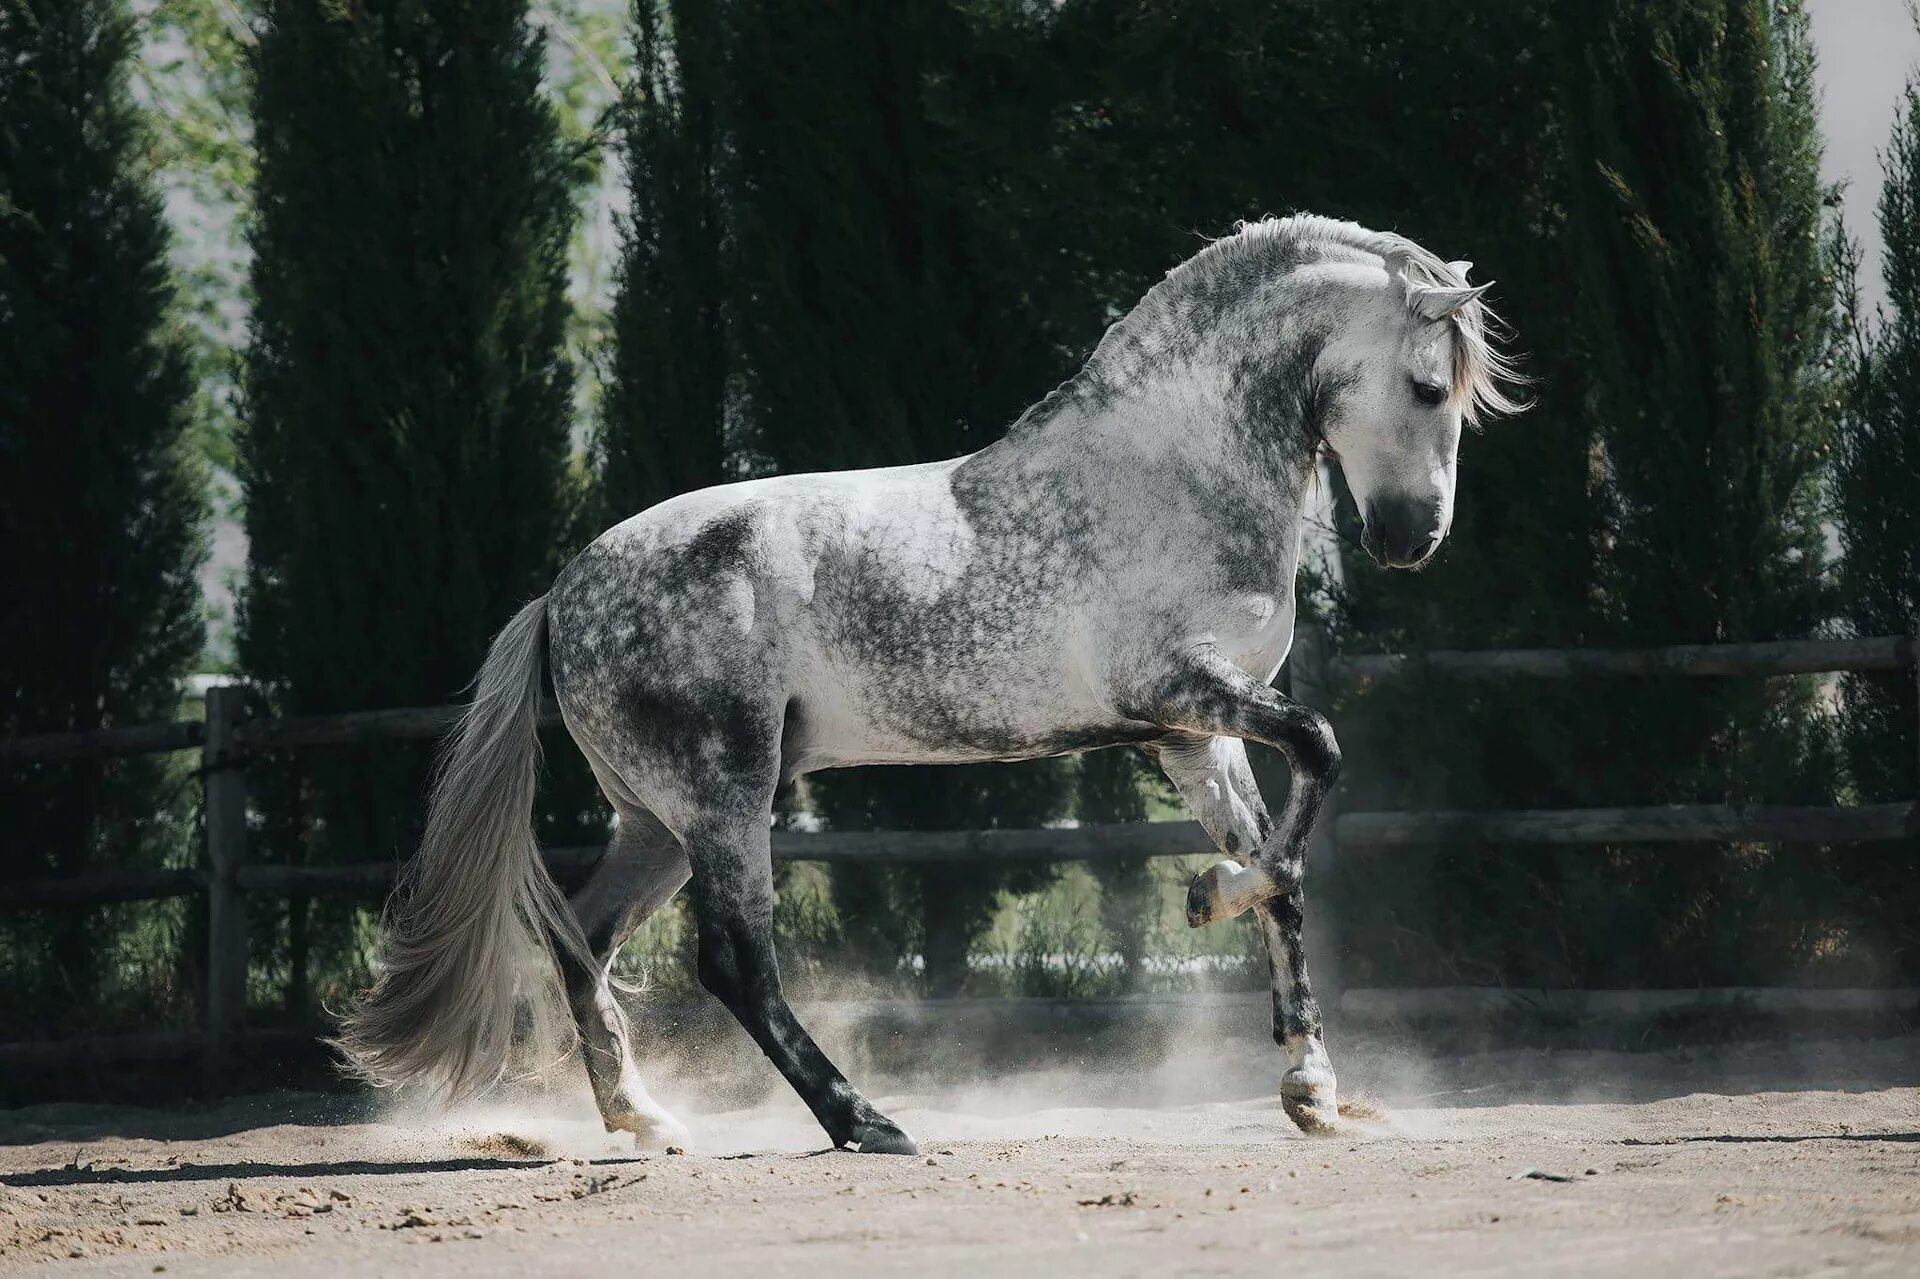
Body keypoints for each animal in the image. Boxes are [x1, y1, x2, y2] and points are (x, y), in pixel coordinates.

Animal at [337, 214, 1520, 1152]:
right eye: (1427, 385)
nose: (1412, 539)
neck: (1175, 472)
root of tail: (564, 594)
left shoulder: (1196, 734)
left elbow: (1285, 870)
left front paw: (1310, 1086)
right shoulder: (1178, 691)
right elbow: (1317, 754)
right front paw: (1207, 896)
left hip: (657, 820)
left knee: (584, 935)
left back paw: (648, 1120)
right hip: (725, 799)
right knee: (734, 961)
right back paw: (867, 1122)